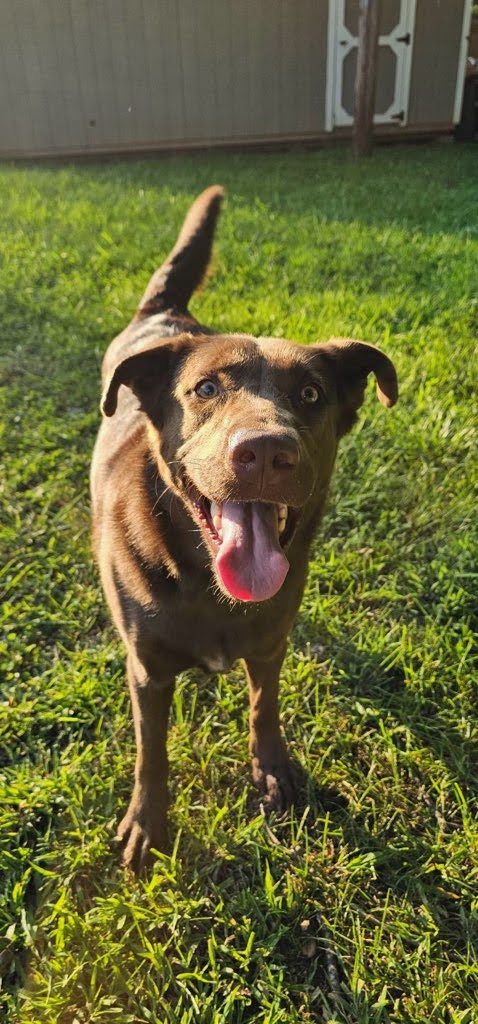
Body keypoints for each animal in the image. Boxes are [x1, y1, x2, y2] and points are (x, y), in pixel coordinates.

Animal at [91, 186, 399, 872]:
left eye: (310, 394)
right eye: (205, 388)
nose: (263, 452)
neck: (208, 586)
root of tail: (168, 314)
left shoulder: (270, 644)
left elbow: (264, 706)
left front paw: (273, 769)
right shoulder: (147, 670)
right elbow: (151, 751)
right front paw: (147, 821)